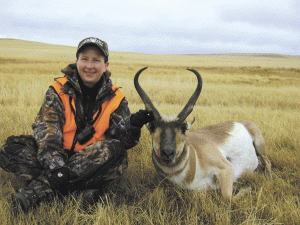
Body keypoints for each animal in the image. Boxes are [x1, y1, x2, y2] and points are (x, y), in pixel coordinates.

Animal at [135, 67, 274, 202]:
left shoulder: (226, 168)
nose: (168, 152)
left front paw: (247, 188)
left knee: (267, 163)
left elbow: (228, 198)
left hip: (260, 147)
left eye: (183, 128)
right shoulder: (198, 190)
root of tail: (241, 122)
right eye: (153, 127)